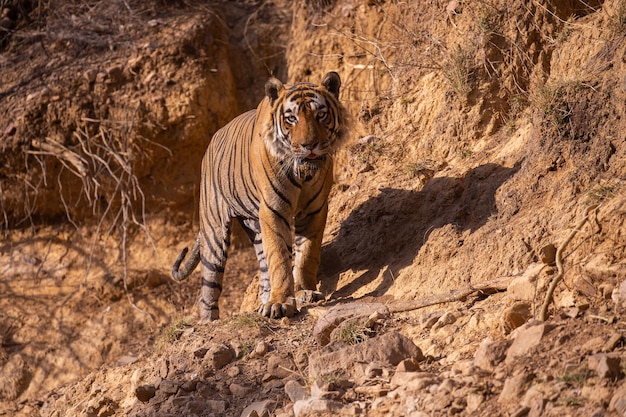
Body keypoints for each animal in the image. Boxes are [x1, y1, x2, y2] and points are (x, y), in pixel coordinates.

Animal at [171, 71, 352, 322]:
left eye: (321, 115)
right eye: (291, 119)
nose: (309, 145)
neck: (303, 173)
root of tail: (212, 140)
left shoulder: (315, 210)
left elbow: (306, 254)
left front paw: (304, 291)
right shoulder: (273, 210)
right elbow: (279, 257)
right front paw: (281, 303)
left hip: (253, 225)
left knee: (264, 270)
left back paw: (265, 299)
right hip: (214, 234)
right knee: (208, 288)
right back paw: (209, 320)